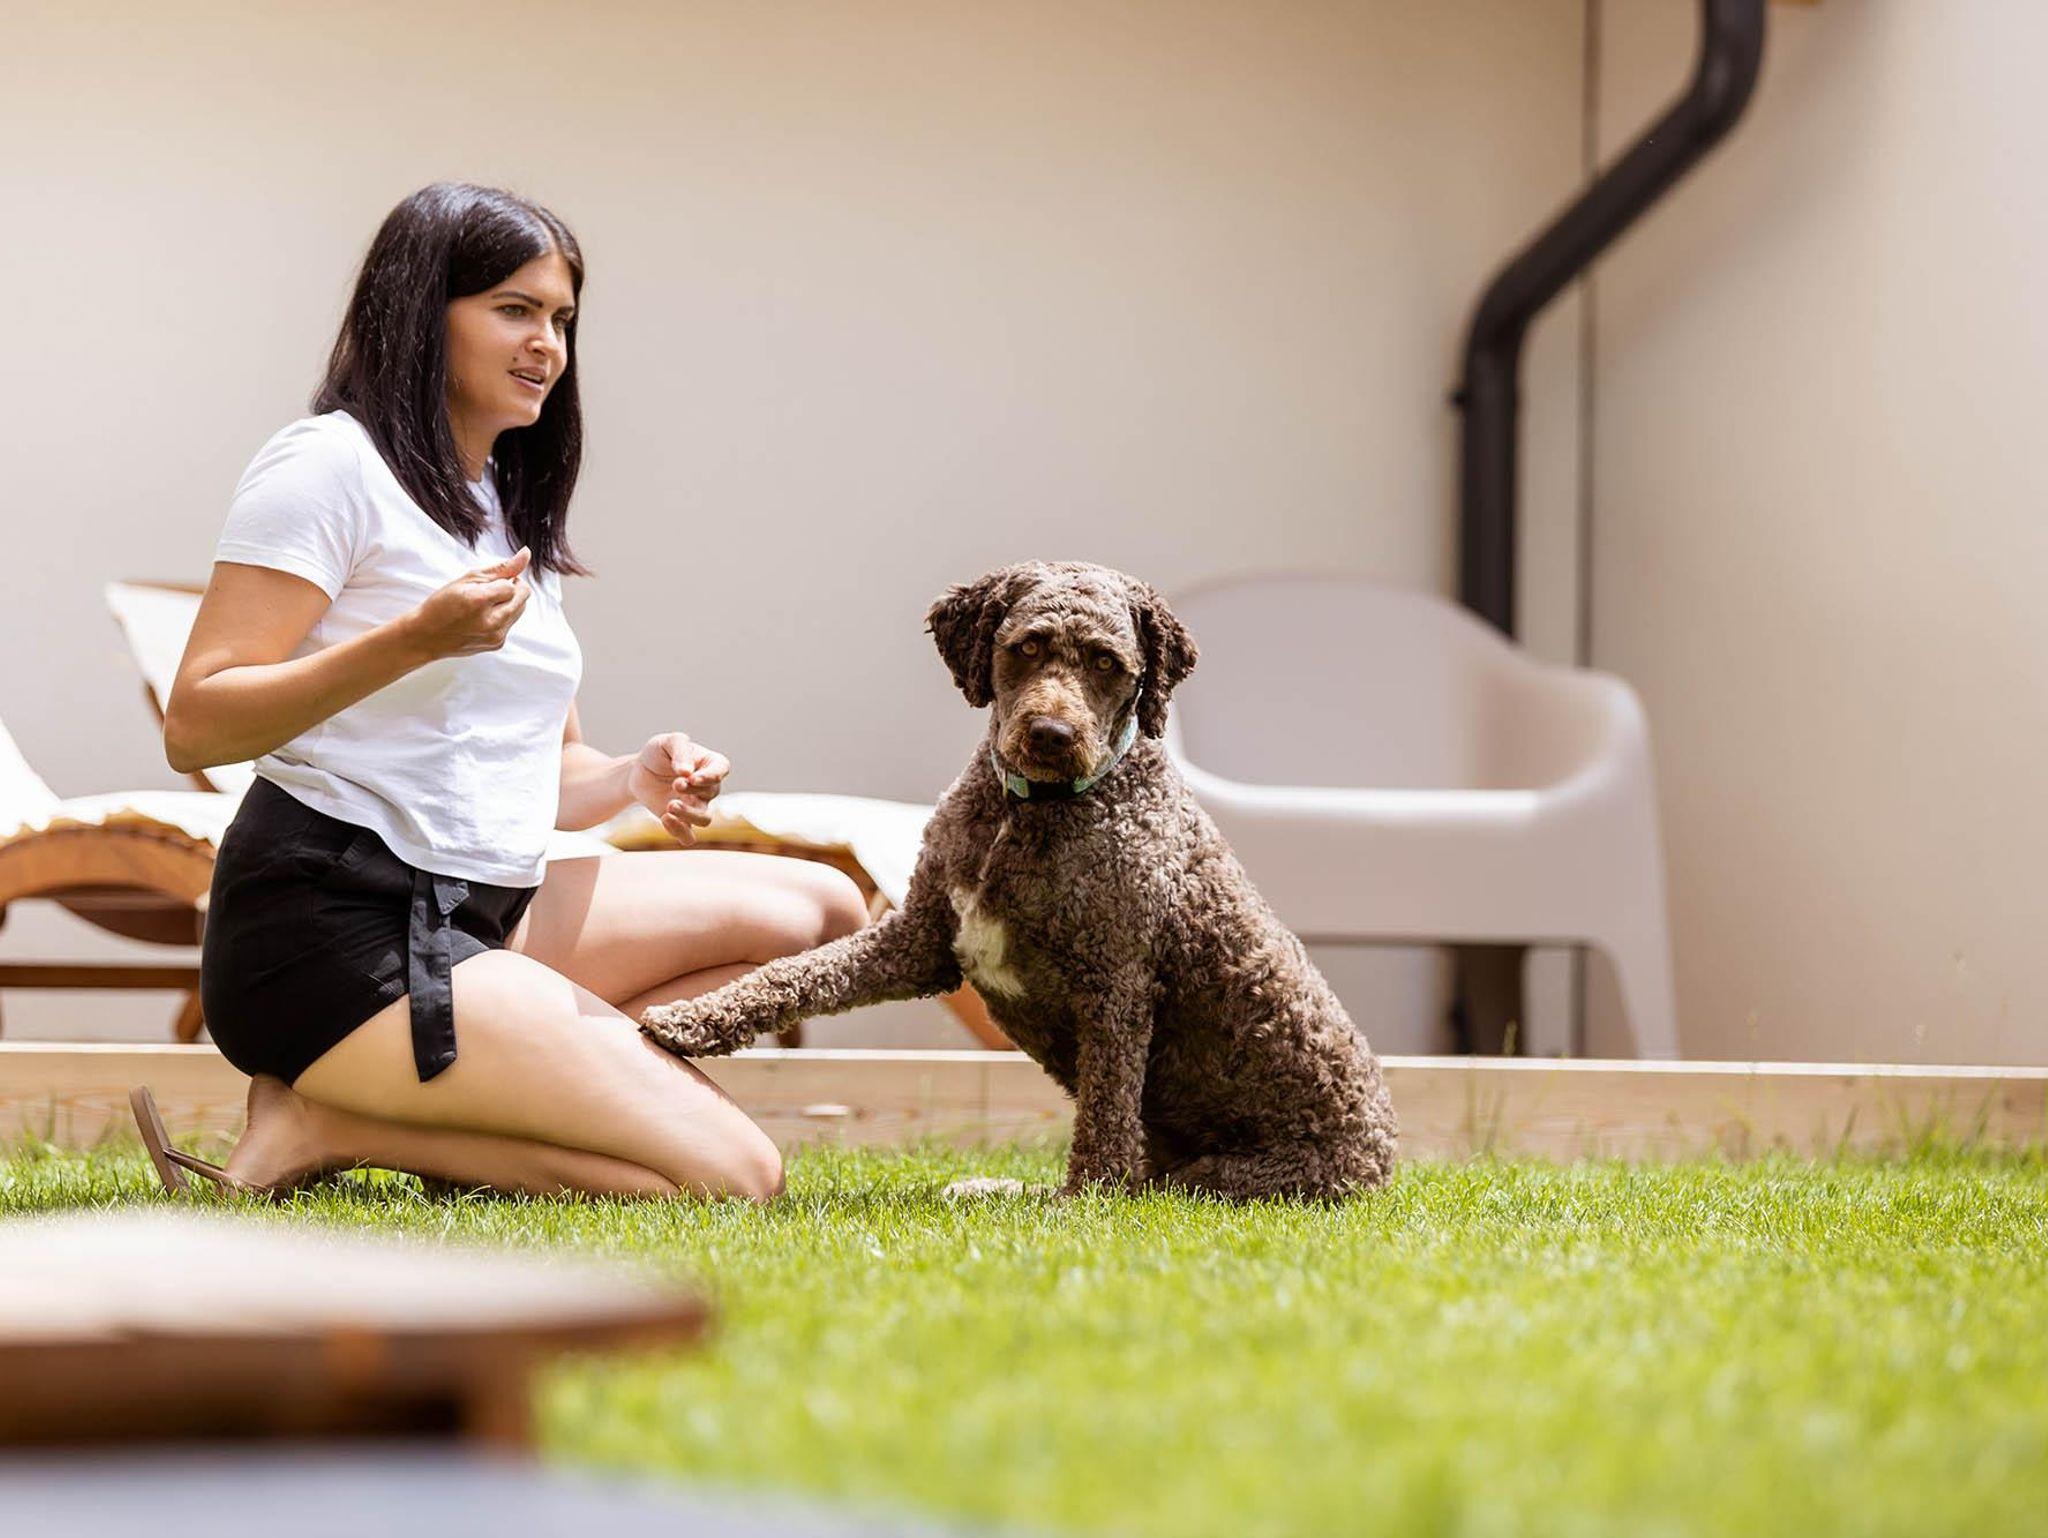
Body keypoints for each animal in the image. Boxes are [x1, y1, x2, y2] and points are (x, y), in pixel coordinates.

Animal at [640, 561, 1397, 1200]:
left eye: (1106, 662)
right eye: (1028, 647)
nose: (1053, 734)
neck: (1027, 811)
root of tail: (1385, 1156)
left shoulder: (1116, 987)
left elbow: (1103, 1127)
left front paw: (1082, 1204)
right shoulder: (920, 941)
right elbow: (797, 975)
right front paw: (691, 1019)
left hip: (1218, 1178)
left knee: (1141, 1180)